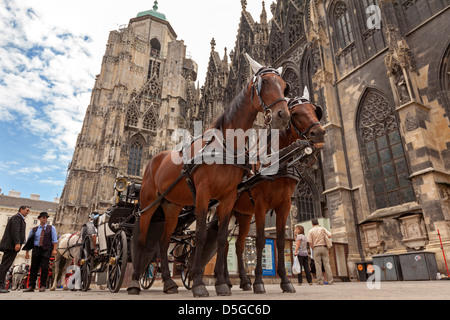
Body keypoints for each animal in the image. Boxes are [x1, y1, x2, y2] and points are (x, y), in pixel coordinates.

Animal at [128, 53, 290, 296]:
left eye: (284, 85)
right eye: (264, 83)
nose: (283, 115)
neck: (226, 144)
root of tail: (155, 159)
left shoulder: (228, 197)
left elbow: (222, 238)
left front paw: (222, 283)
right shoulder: (204, 193)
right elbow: (201, 235)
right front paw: (198, 283)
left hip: (171, 206)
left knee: (163, 242)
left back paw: (168, 282)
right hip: (148, 203)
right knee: (141, 239)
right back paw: (134, 283)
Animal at [232, 89, 324, 294]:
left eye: (315, 110)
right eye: (295, 113)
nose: (319, 133)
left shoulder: (285, 204)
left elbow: (282, 241)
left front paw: (285, 281)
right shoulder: (260, 204)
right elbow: (259, 240)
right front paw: (259, 282)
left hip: (242, 215)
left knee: (237, 244)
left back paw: (243, 281)